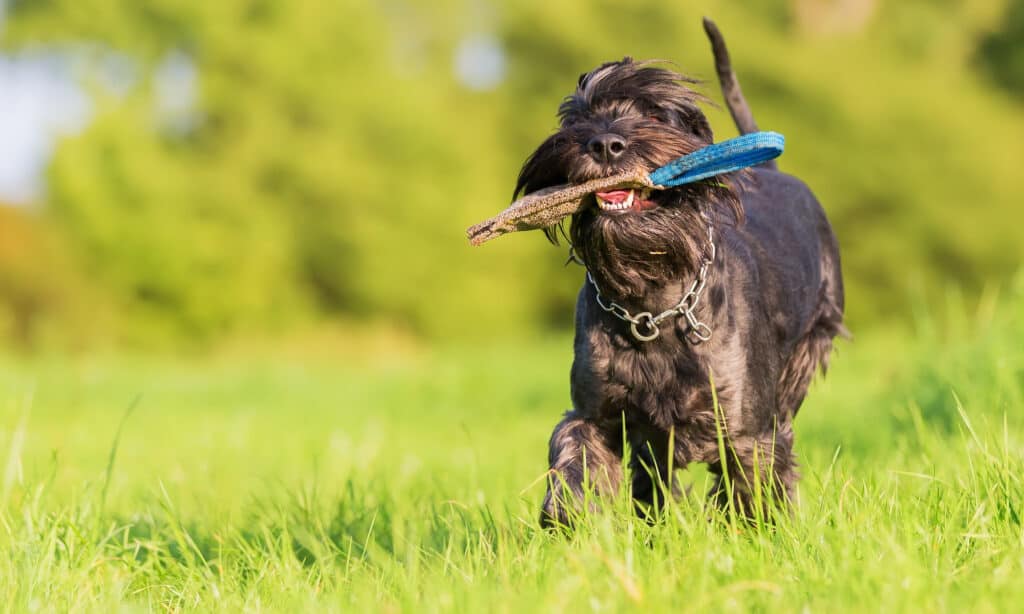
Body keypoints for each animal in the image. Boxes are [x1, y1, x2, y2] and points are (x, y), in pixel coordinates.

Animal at [516, 19, 843, 528]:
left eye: (657, 114)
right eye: (577, 117)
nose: (605, 143)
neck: (651, 303)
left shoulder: (747, 428)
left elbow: (753, 486)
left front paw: (757, 533)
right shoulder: (596, 413)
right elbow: (575, 457)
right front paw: (569, 520)